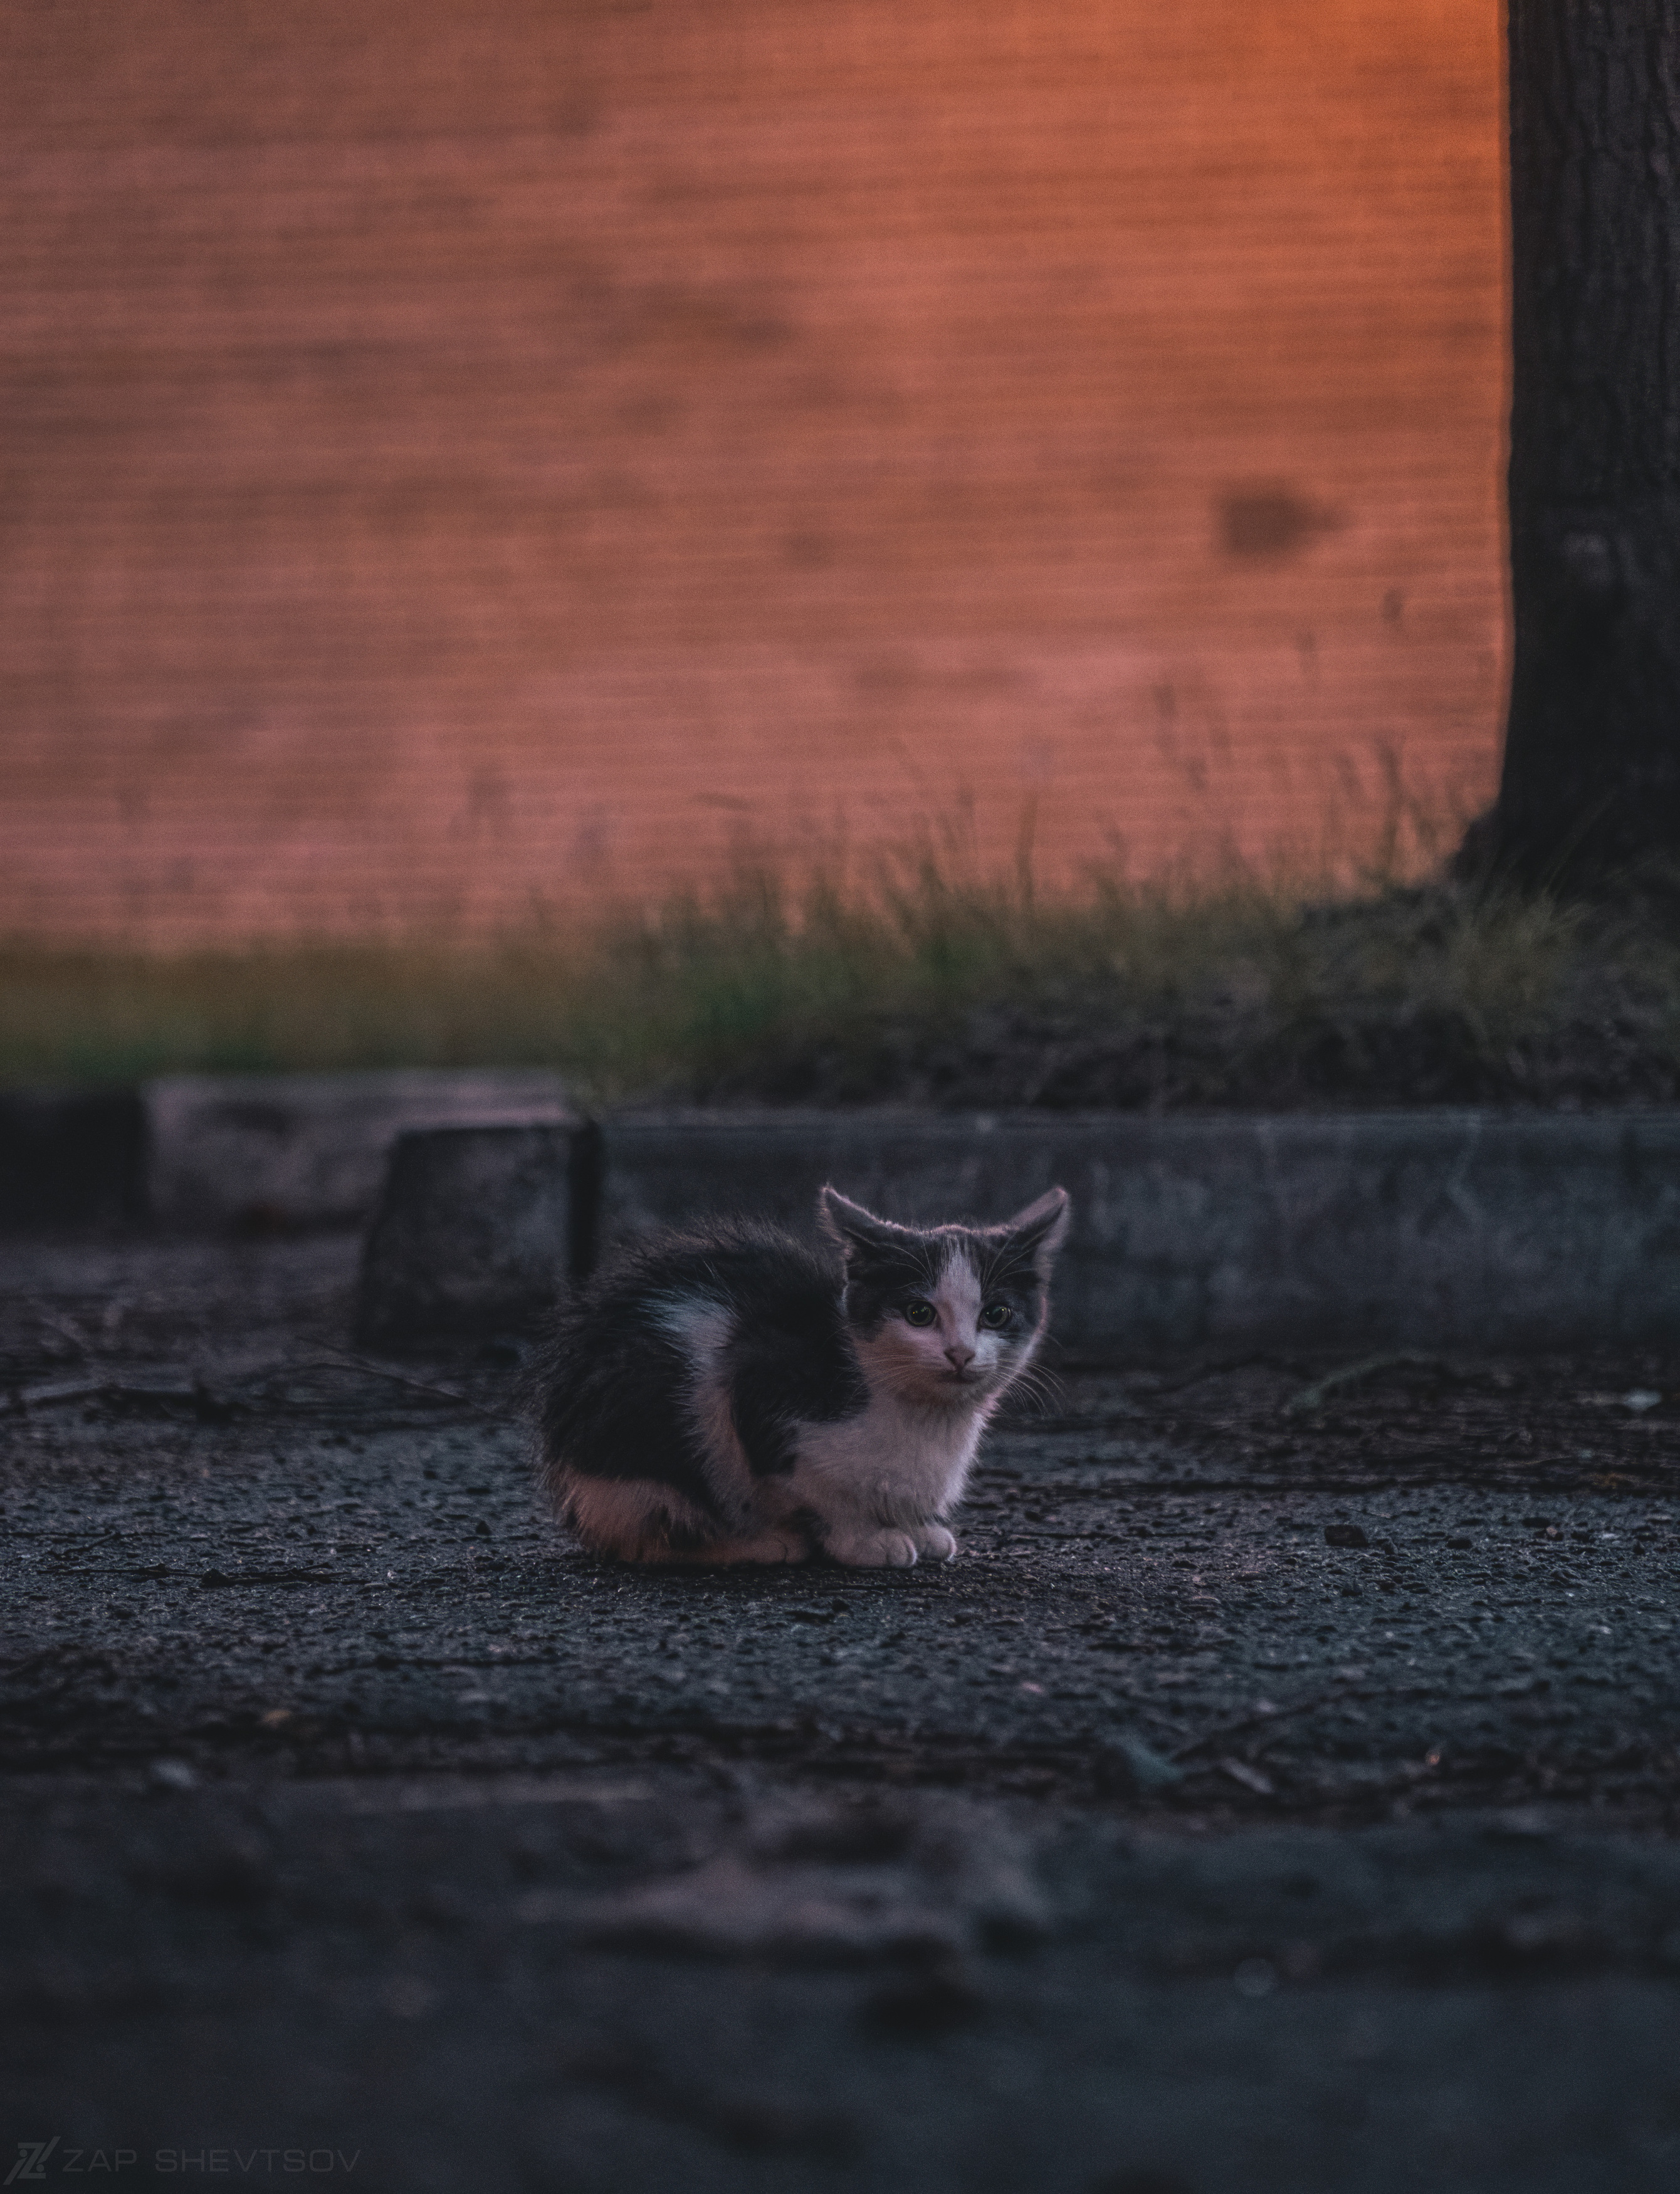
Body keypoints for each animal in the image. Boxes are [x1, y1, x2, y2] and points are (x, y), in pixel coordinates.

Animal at [533, 1194, 1070, 1571]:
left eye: (995, 1314)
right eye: (919, 1314)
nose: (960, 1353)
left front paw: (917, 1529)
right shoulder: (758, 1386)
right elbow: (821, 1490)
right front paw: (865, 1540)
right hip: (656, 1437)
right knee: (655, 1538)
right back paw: (760, 1543)